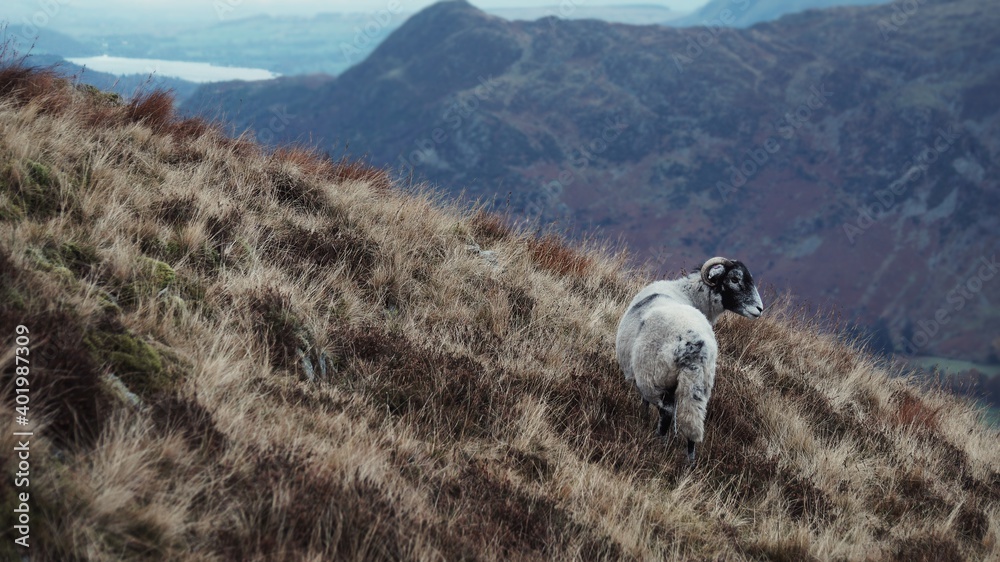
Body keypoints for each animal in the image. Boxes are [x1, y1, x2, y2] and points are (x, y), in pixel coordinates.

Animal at [616, 257, 763, 462]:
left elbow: (645, 403)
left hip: (653, 376)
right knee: (692, 420)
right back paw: (690, 459)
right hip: (700, 384)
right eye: (734, 279)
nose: (759, 309)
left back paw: (659, 441)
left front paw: (642, 419)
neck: (687, 293)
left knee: (666, 410)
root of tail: (694, 347)